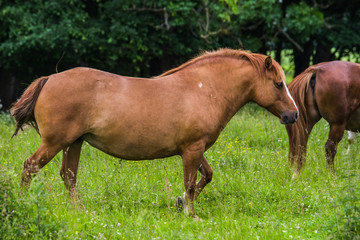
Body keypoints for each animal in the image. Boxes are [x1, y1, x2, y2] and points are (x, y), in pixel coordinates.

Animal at [11, 48, 298, 218]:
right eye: (278, 84)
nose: (293, 115)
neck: (203, 88)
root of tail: (49, 79)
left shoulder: (194, 149)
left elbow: (206, 176)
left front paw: (180, 203)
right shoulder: (192, 149)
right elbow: (191, 182)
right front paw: (190, 213)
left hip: (74, 143)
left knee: (68, 176)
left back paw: (79, 211)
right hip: (55, 142)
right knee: (30, 167)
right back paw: (23, 203)